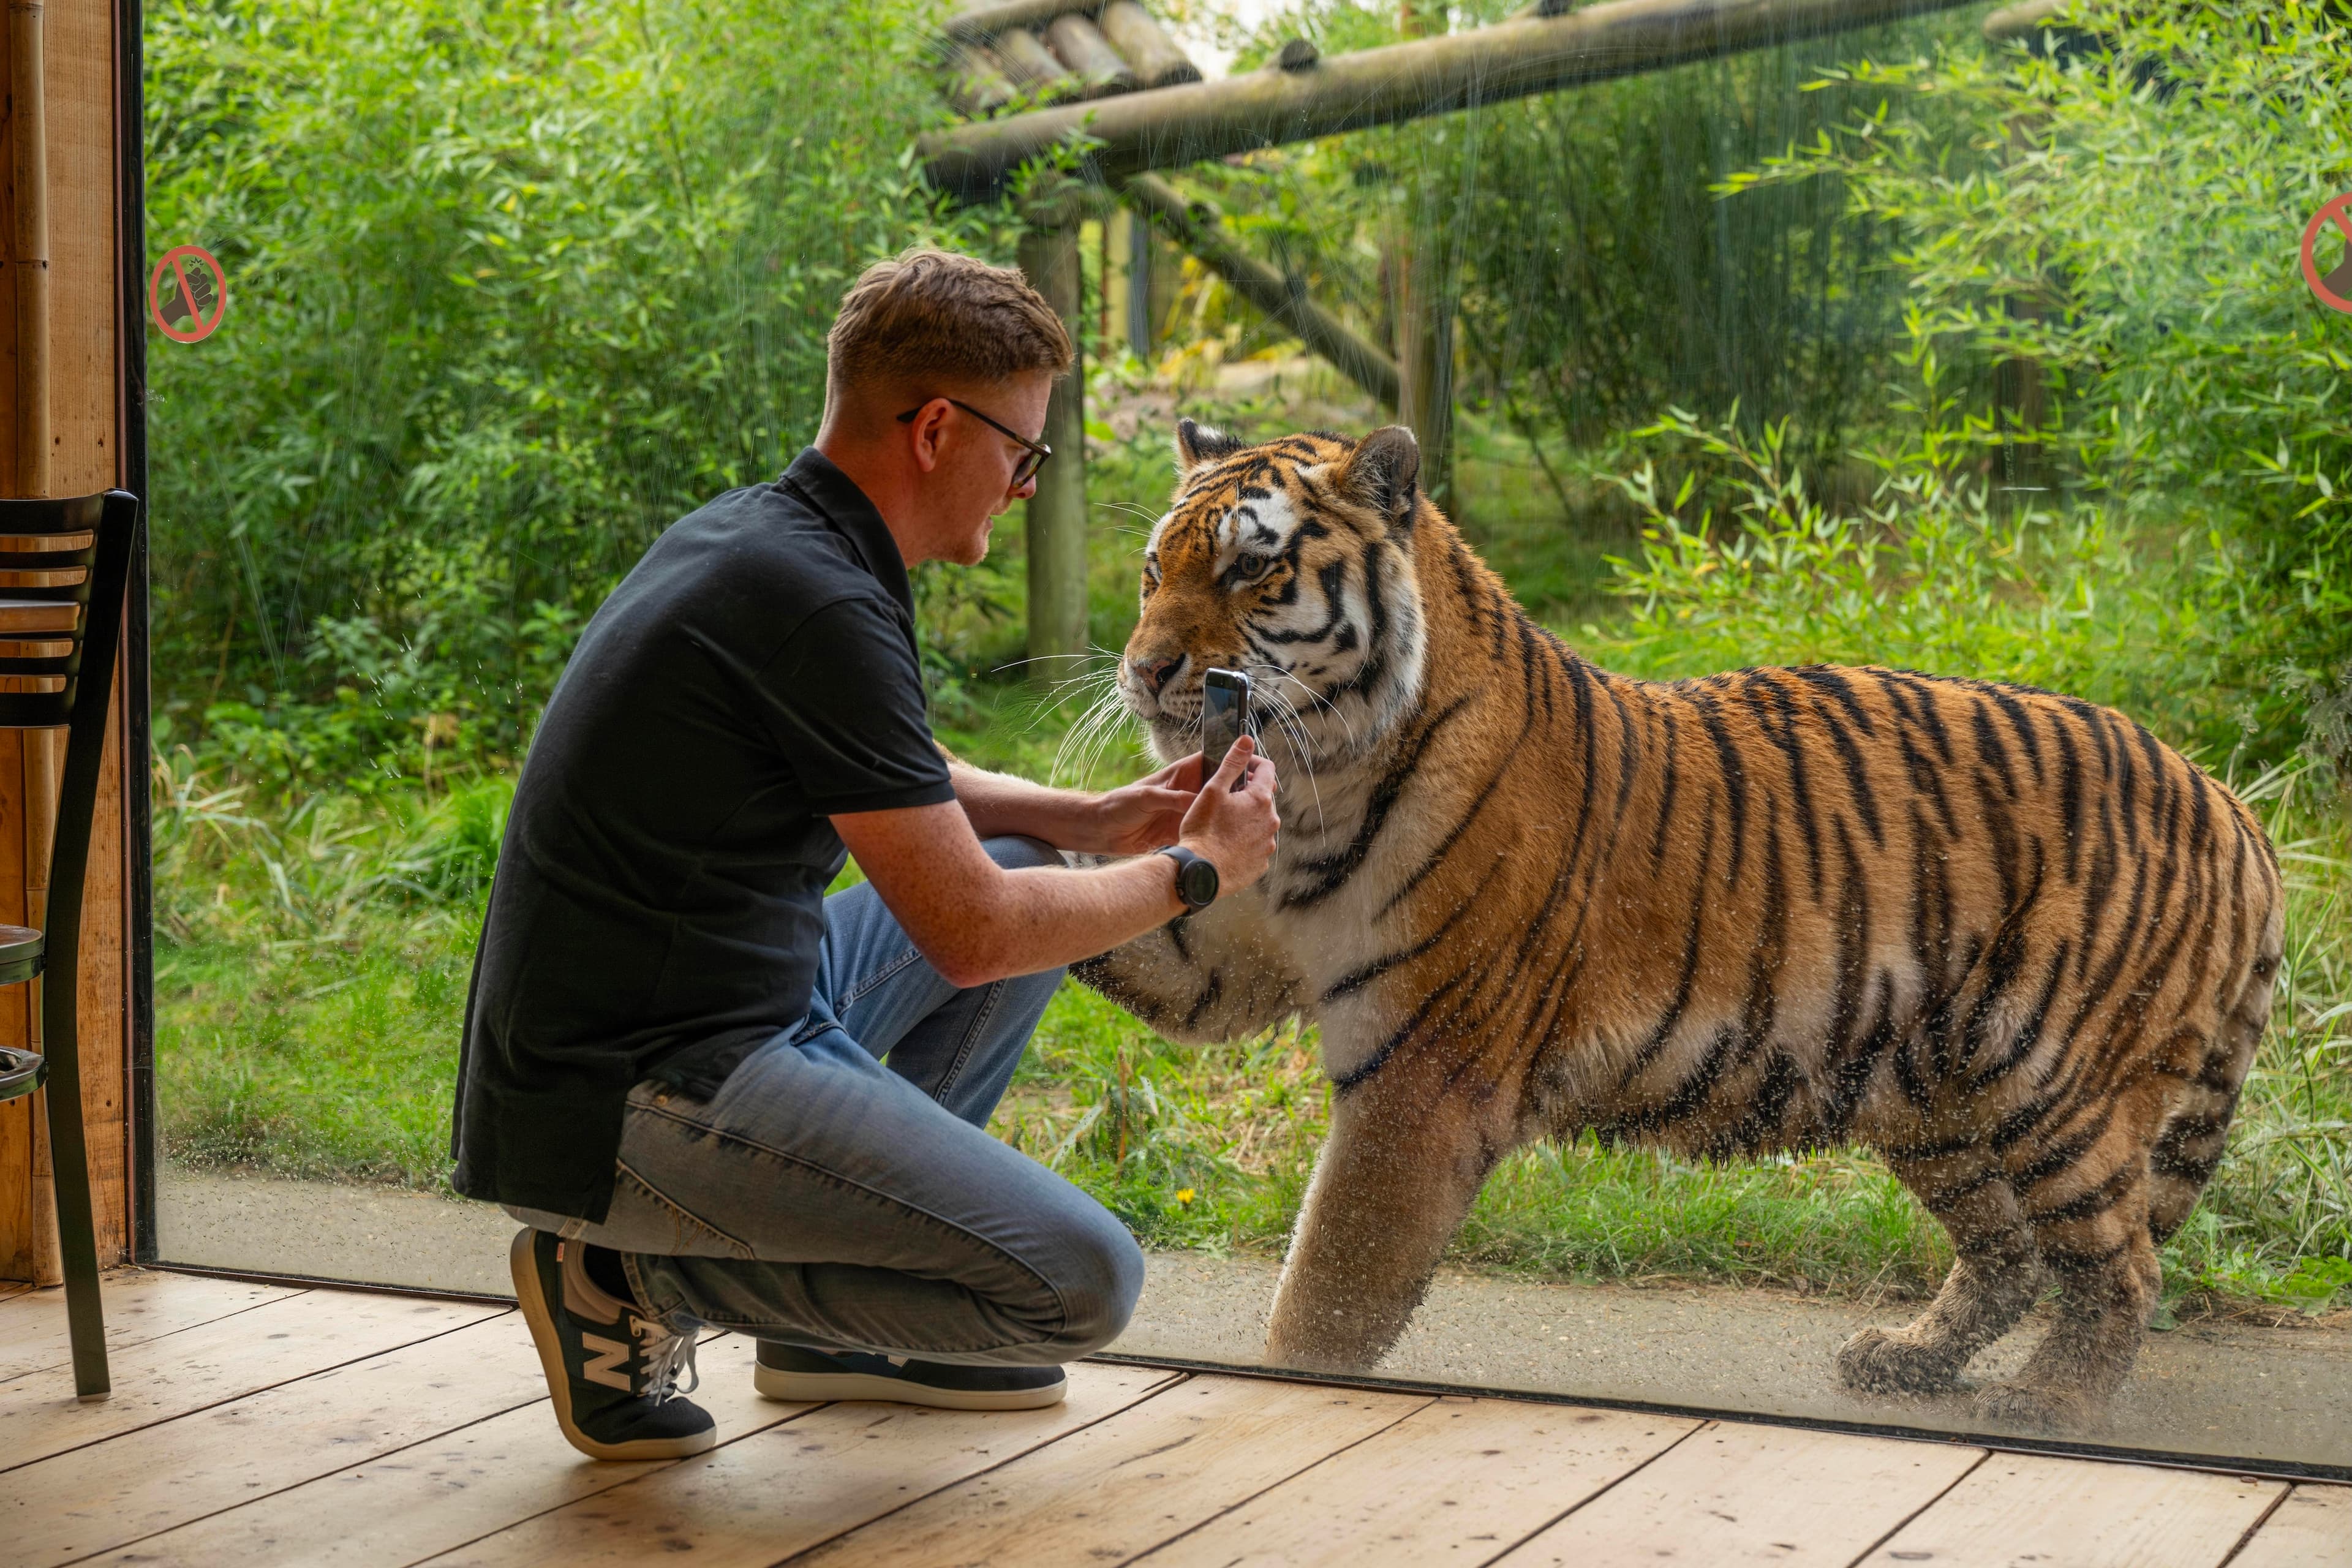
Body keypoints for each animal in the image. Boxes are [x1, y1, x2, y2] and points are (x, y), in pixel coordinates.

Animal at [1073, 419, 2283, 1429]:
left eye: (1253, 567)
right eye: (1153, 570)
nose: (1143, 669)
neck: (1320, 776)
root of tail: (2228, 799)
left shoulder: (1422, 1078)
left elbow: (1326, 1295)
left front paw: (1285, 1388)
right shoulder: (1219, 952)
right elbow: (1103, 913)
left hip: (2056, 1087)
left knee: (2119, 1265)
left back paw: (2048, 1402)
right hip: (1934, 1096)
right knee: (2009, 1253)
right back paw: (1905, 1357)